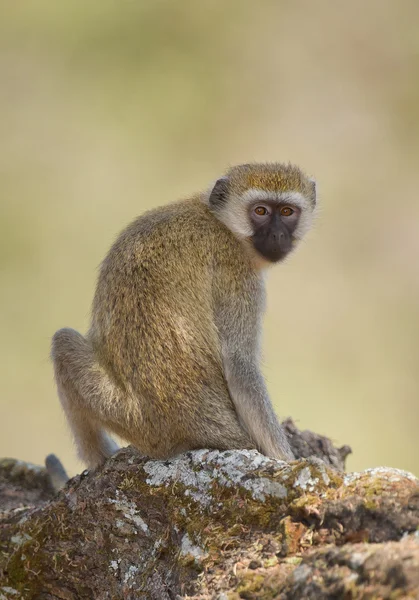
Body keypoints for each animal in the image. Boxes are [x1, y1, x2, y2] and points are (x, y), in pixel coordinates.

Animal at [50, 163, 318, 468]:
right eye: (260, 211)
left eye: (287, 212)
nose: (277, 236)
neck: (221, 222)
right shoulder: (237, 270)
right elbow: (239, 365)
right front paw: (287, 460)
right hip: (139, 422)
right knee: (63, 340)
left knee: (62, 342)